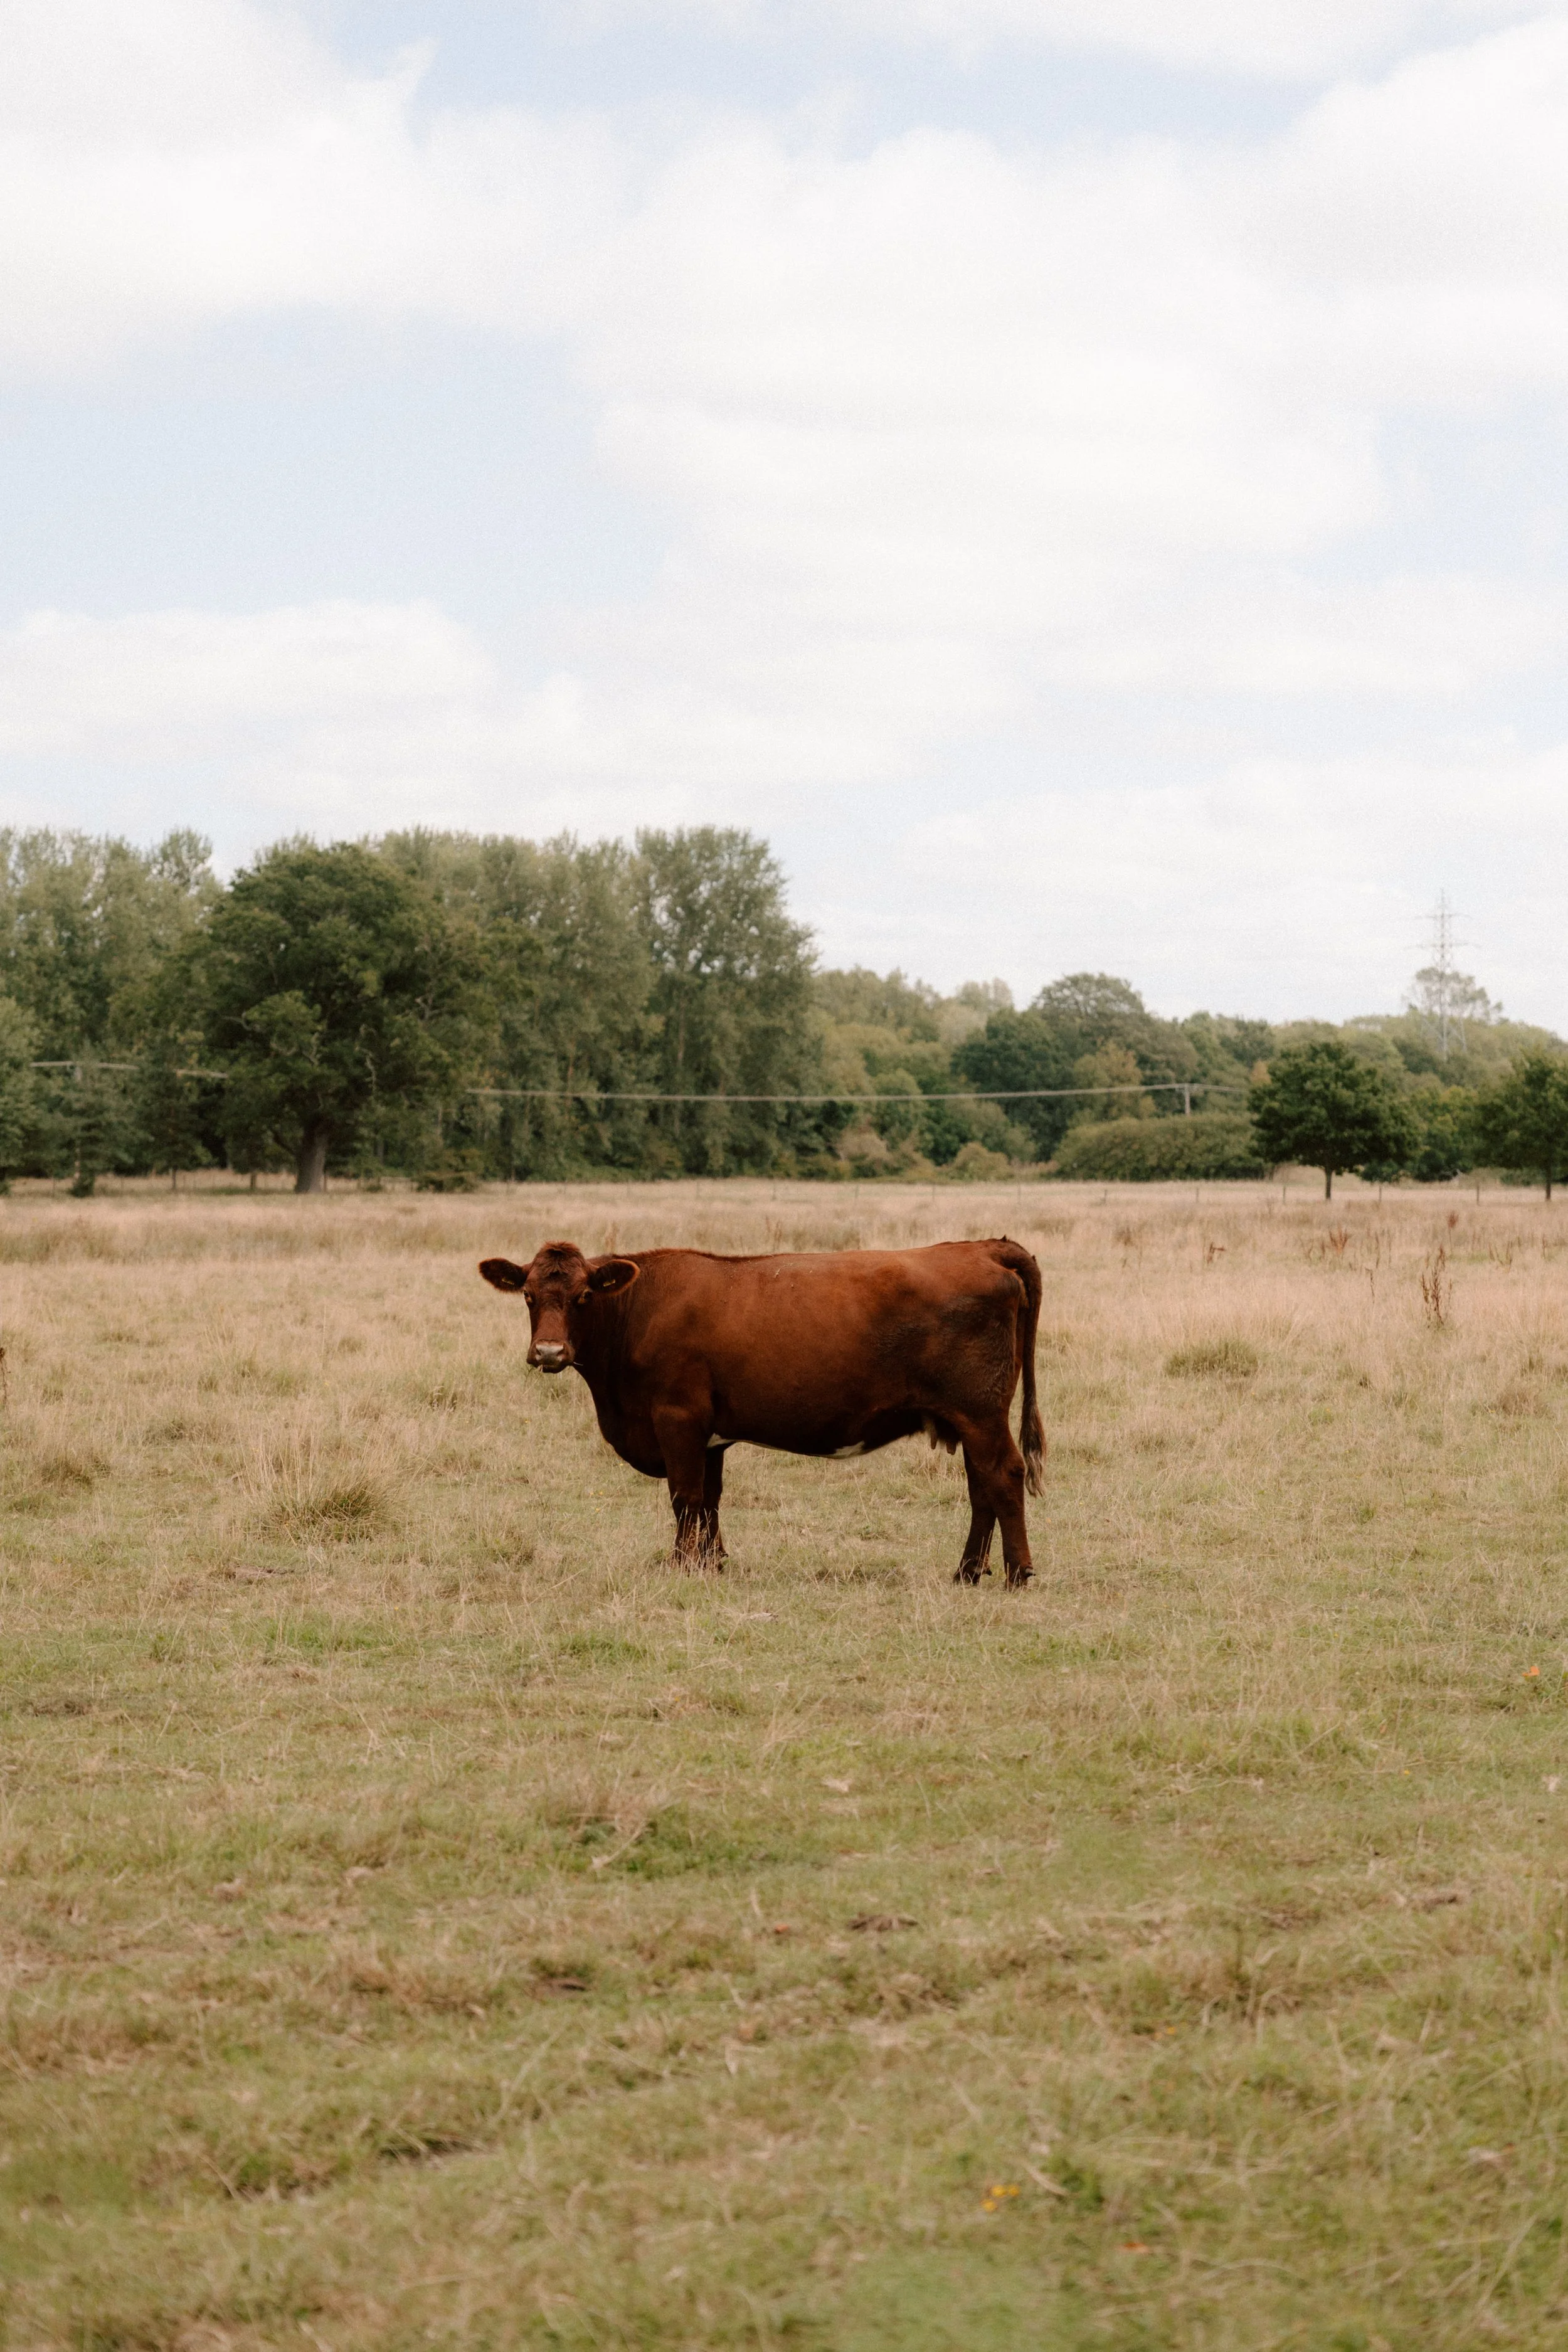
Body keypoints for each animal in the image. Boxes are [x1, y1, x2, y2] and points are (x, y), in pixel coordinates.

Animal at [479, 1237, 1045, 1587]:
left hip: (981, 1413)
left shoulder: (677, 1419)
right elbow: (710, 1500)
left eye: (583, 1296)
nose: (549, 1352)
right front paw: (712, 1563)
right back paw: (967, 1572)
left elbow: (685, 1498)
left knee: (1003, 1476)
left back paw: (1017, 1573)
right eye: (528, 1295)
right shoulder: (709, 1434)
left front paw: (681, 1566)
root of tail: (983, 1247)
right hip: (969, 1419)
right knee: (981, 1486)